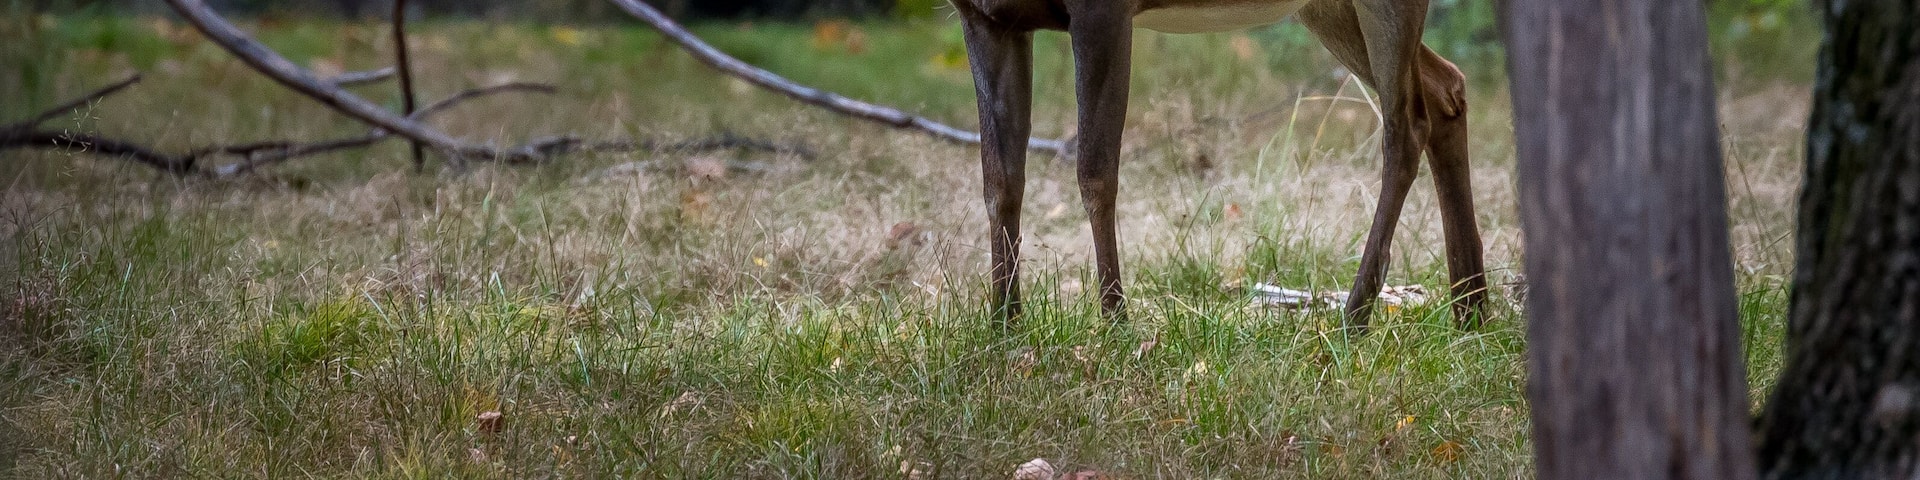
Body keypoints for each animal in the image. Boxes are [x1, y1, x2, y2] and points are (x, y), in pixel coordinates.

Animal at [954, 0, 1488, 332]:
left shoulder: (1102, 10)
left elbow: (1095, 172)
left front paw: (1115, 323)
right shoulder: (984, 18)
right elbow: (1000, 182)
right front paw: (1003, 326)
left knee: (1407, 123)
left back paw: (1356, 316)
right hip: (1327, 9)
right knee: (1445, 87)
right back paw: (1471, 311)